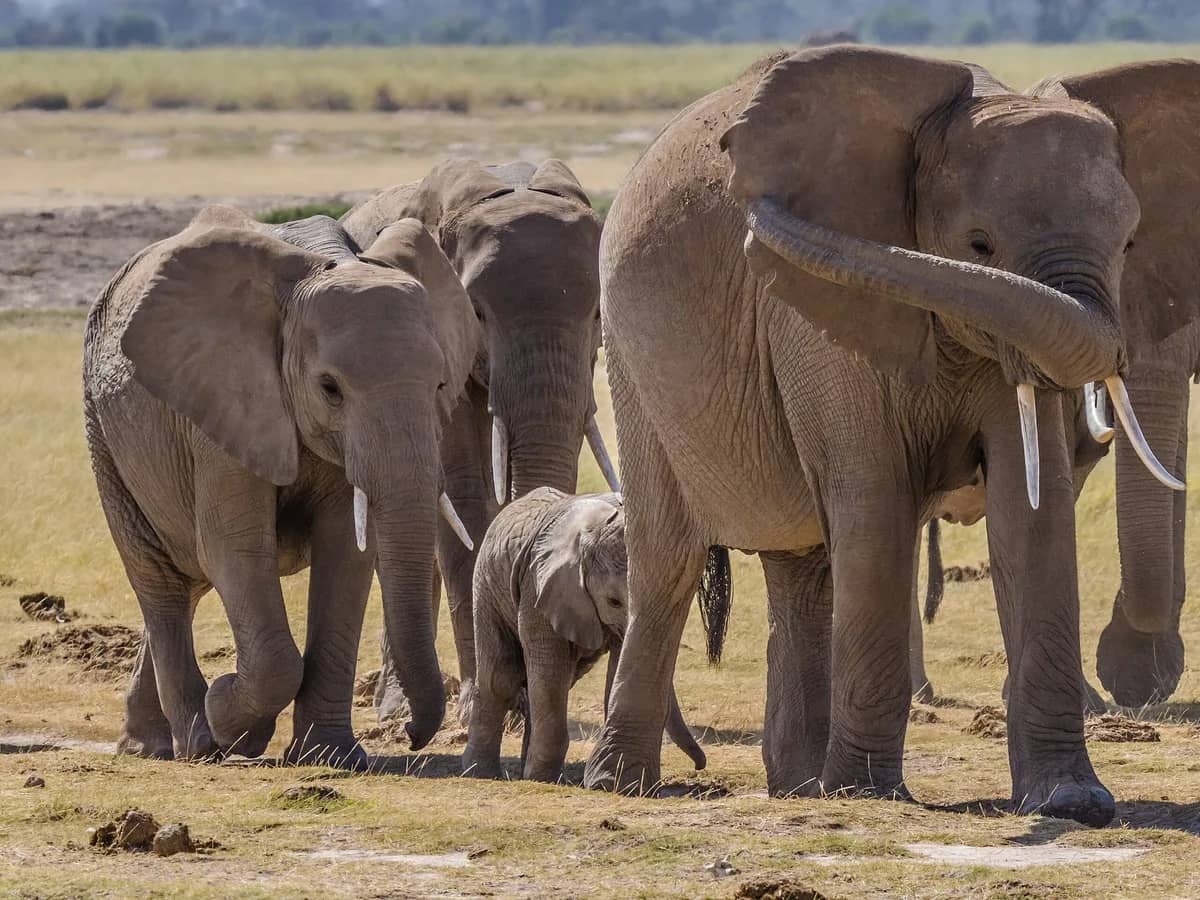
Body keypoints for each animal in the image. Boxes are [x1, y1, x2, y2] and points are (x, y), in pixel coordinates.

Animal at [84, 205, 481, 767]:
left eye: (442, 385)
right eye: (330, 389)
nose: (408, 733)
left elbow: (348, 552)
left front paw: (332, 758)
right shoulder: (224, 404)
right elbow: (237, 550)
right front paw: (233, 723)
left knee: (187, 582)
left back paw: (148, 744)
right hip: (105, 434)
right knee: (160, 581)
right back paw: (196, 743)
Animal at [461, 487, 706, 782]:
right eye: (613, 601)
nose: (699, 765)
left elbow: (613, 670)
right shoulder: (537, 586)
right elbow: (548, 671)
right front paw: (542, 779)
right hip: (486, 584)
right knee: (501, 677)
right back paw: (481, 774)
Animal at [584, 45, 1197, 827]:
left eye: (1129, 243)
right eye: (978, 244)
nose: (754, 217)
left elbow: (1032, 514)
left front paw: (1072, 801)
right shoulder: (815, 313)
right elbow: (873, 497)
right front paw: (869, 793)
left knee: (802, 565)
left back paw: (799, 784)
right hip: (632, 359)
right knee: (668, 557)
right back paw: (623, 783)